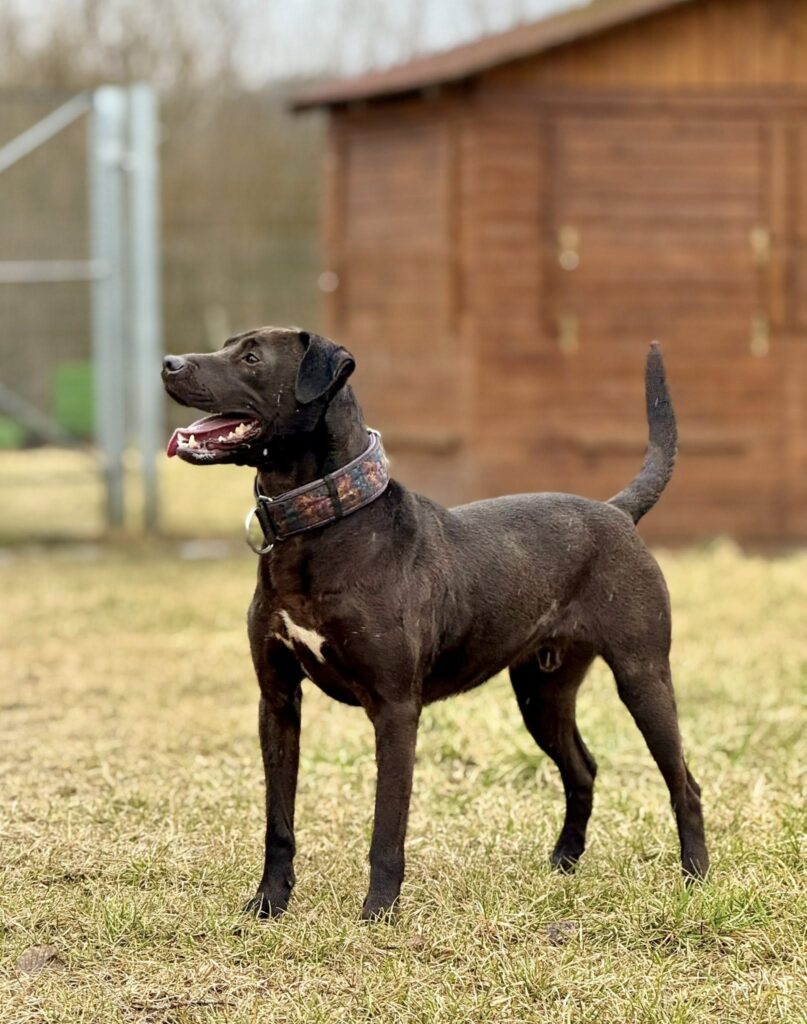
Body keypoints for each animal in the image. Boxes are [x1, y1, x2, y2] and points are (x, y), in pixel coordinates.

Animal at [162, 327, 708, 920]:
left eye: (252, 357)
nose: (168, 363)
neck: (324, 522)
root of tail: (616, 511)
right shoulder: (278, 701)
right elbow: (278, 821)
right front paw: (268, 904)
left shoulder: (396, 709)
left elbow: (386, 828)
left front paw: (377, 914)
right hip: (541, 692)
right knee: (582, 768)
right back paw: (563, 863)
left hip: (642, 677)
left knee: (684, 783)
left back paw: (696, 880)